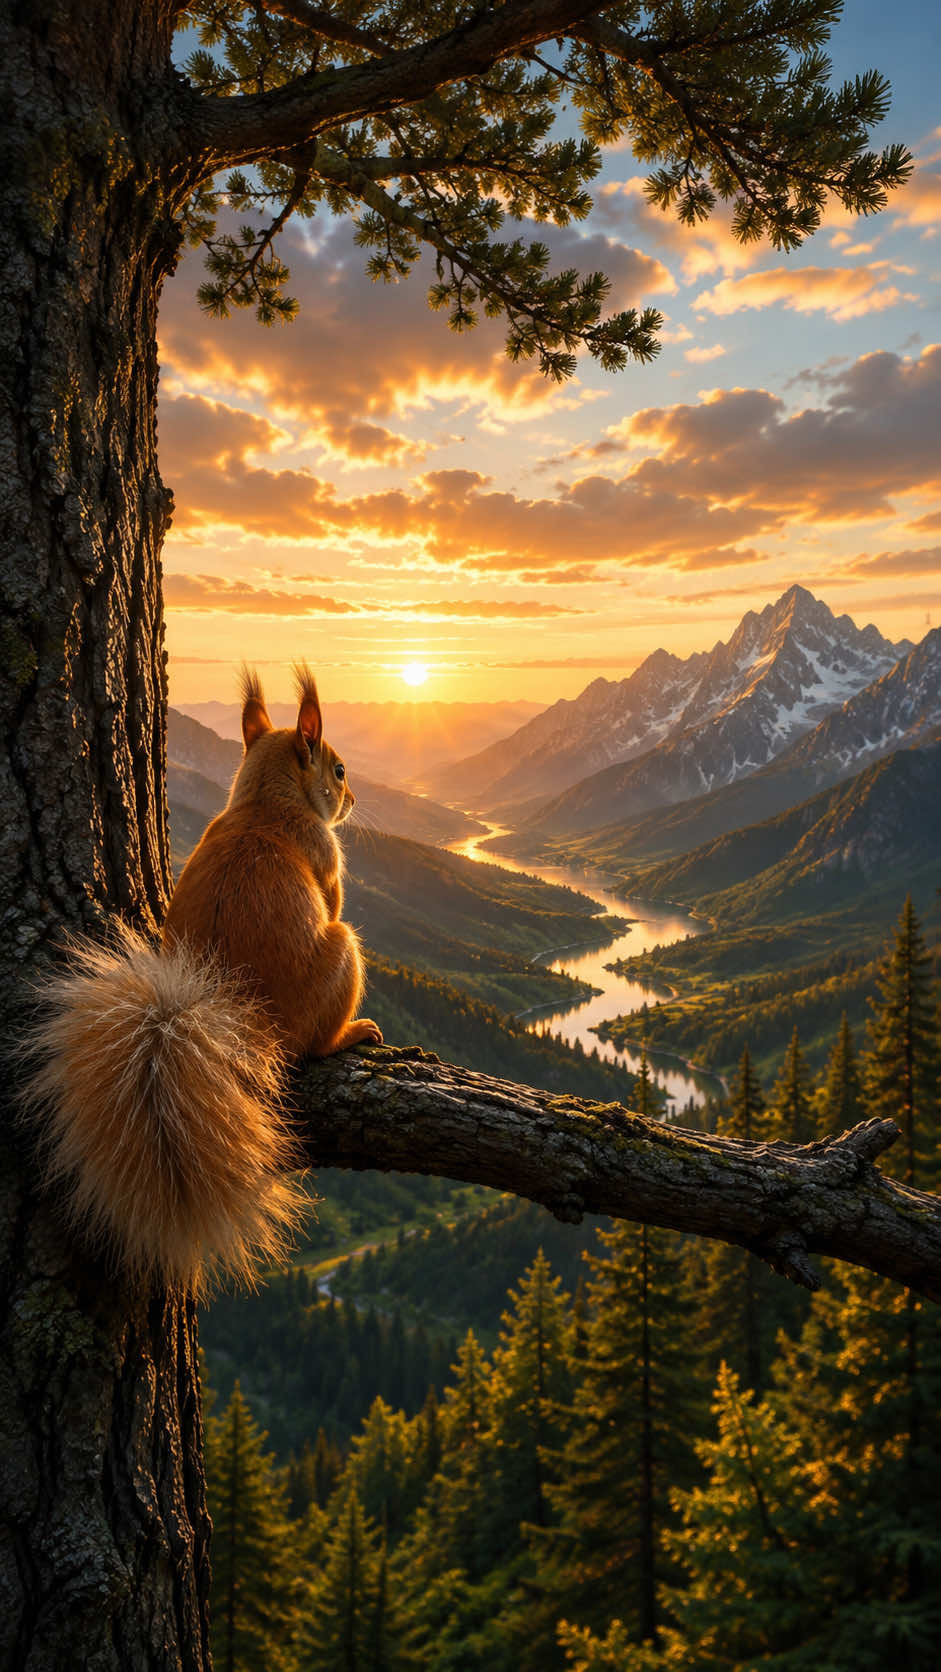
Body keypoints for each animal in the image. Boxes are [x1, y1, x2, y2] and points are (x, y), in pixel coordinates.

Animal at [19, 664, 382, 1291]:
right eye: (338, 770)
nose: (354, 797)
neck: (262, 802)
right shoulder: (326, 857)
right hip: (340, 956)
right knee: (313, 1044)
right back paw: (351, 1034)